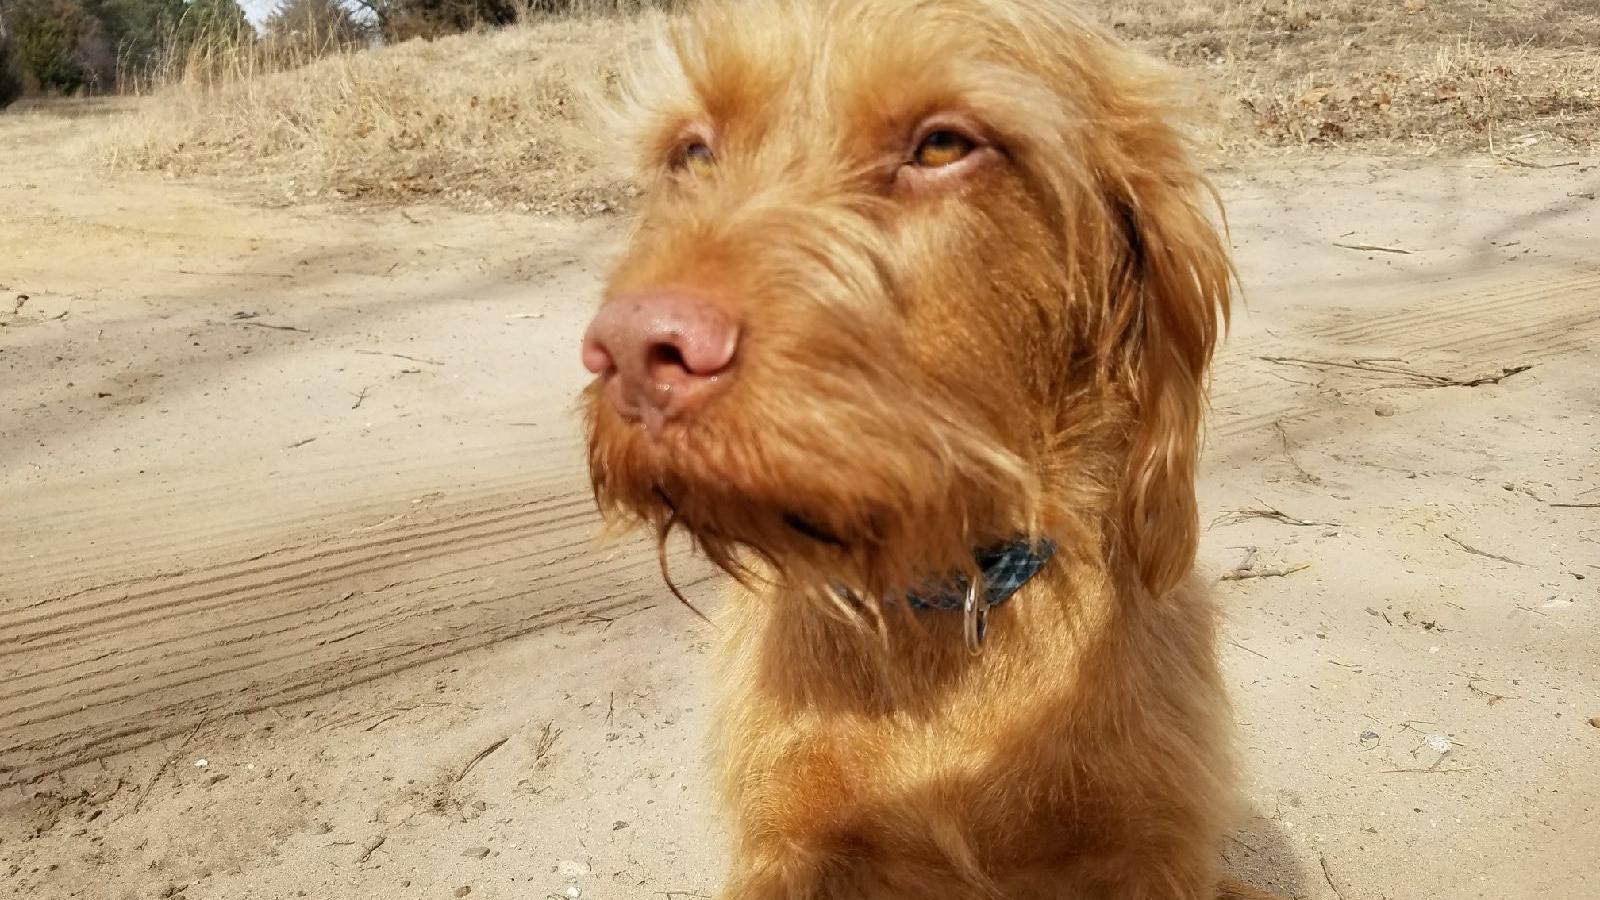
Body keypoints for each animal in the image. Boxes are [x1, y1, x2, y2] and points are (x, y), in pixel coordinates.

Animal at [579, 3, 1273, 890]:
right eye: (693, 151)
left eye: (943, 145)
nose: (632, 350)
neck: (945, 608)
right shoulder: (789, 848)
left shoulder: (1151, 850)